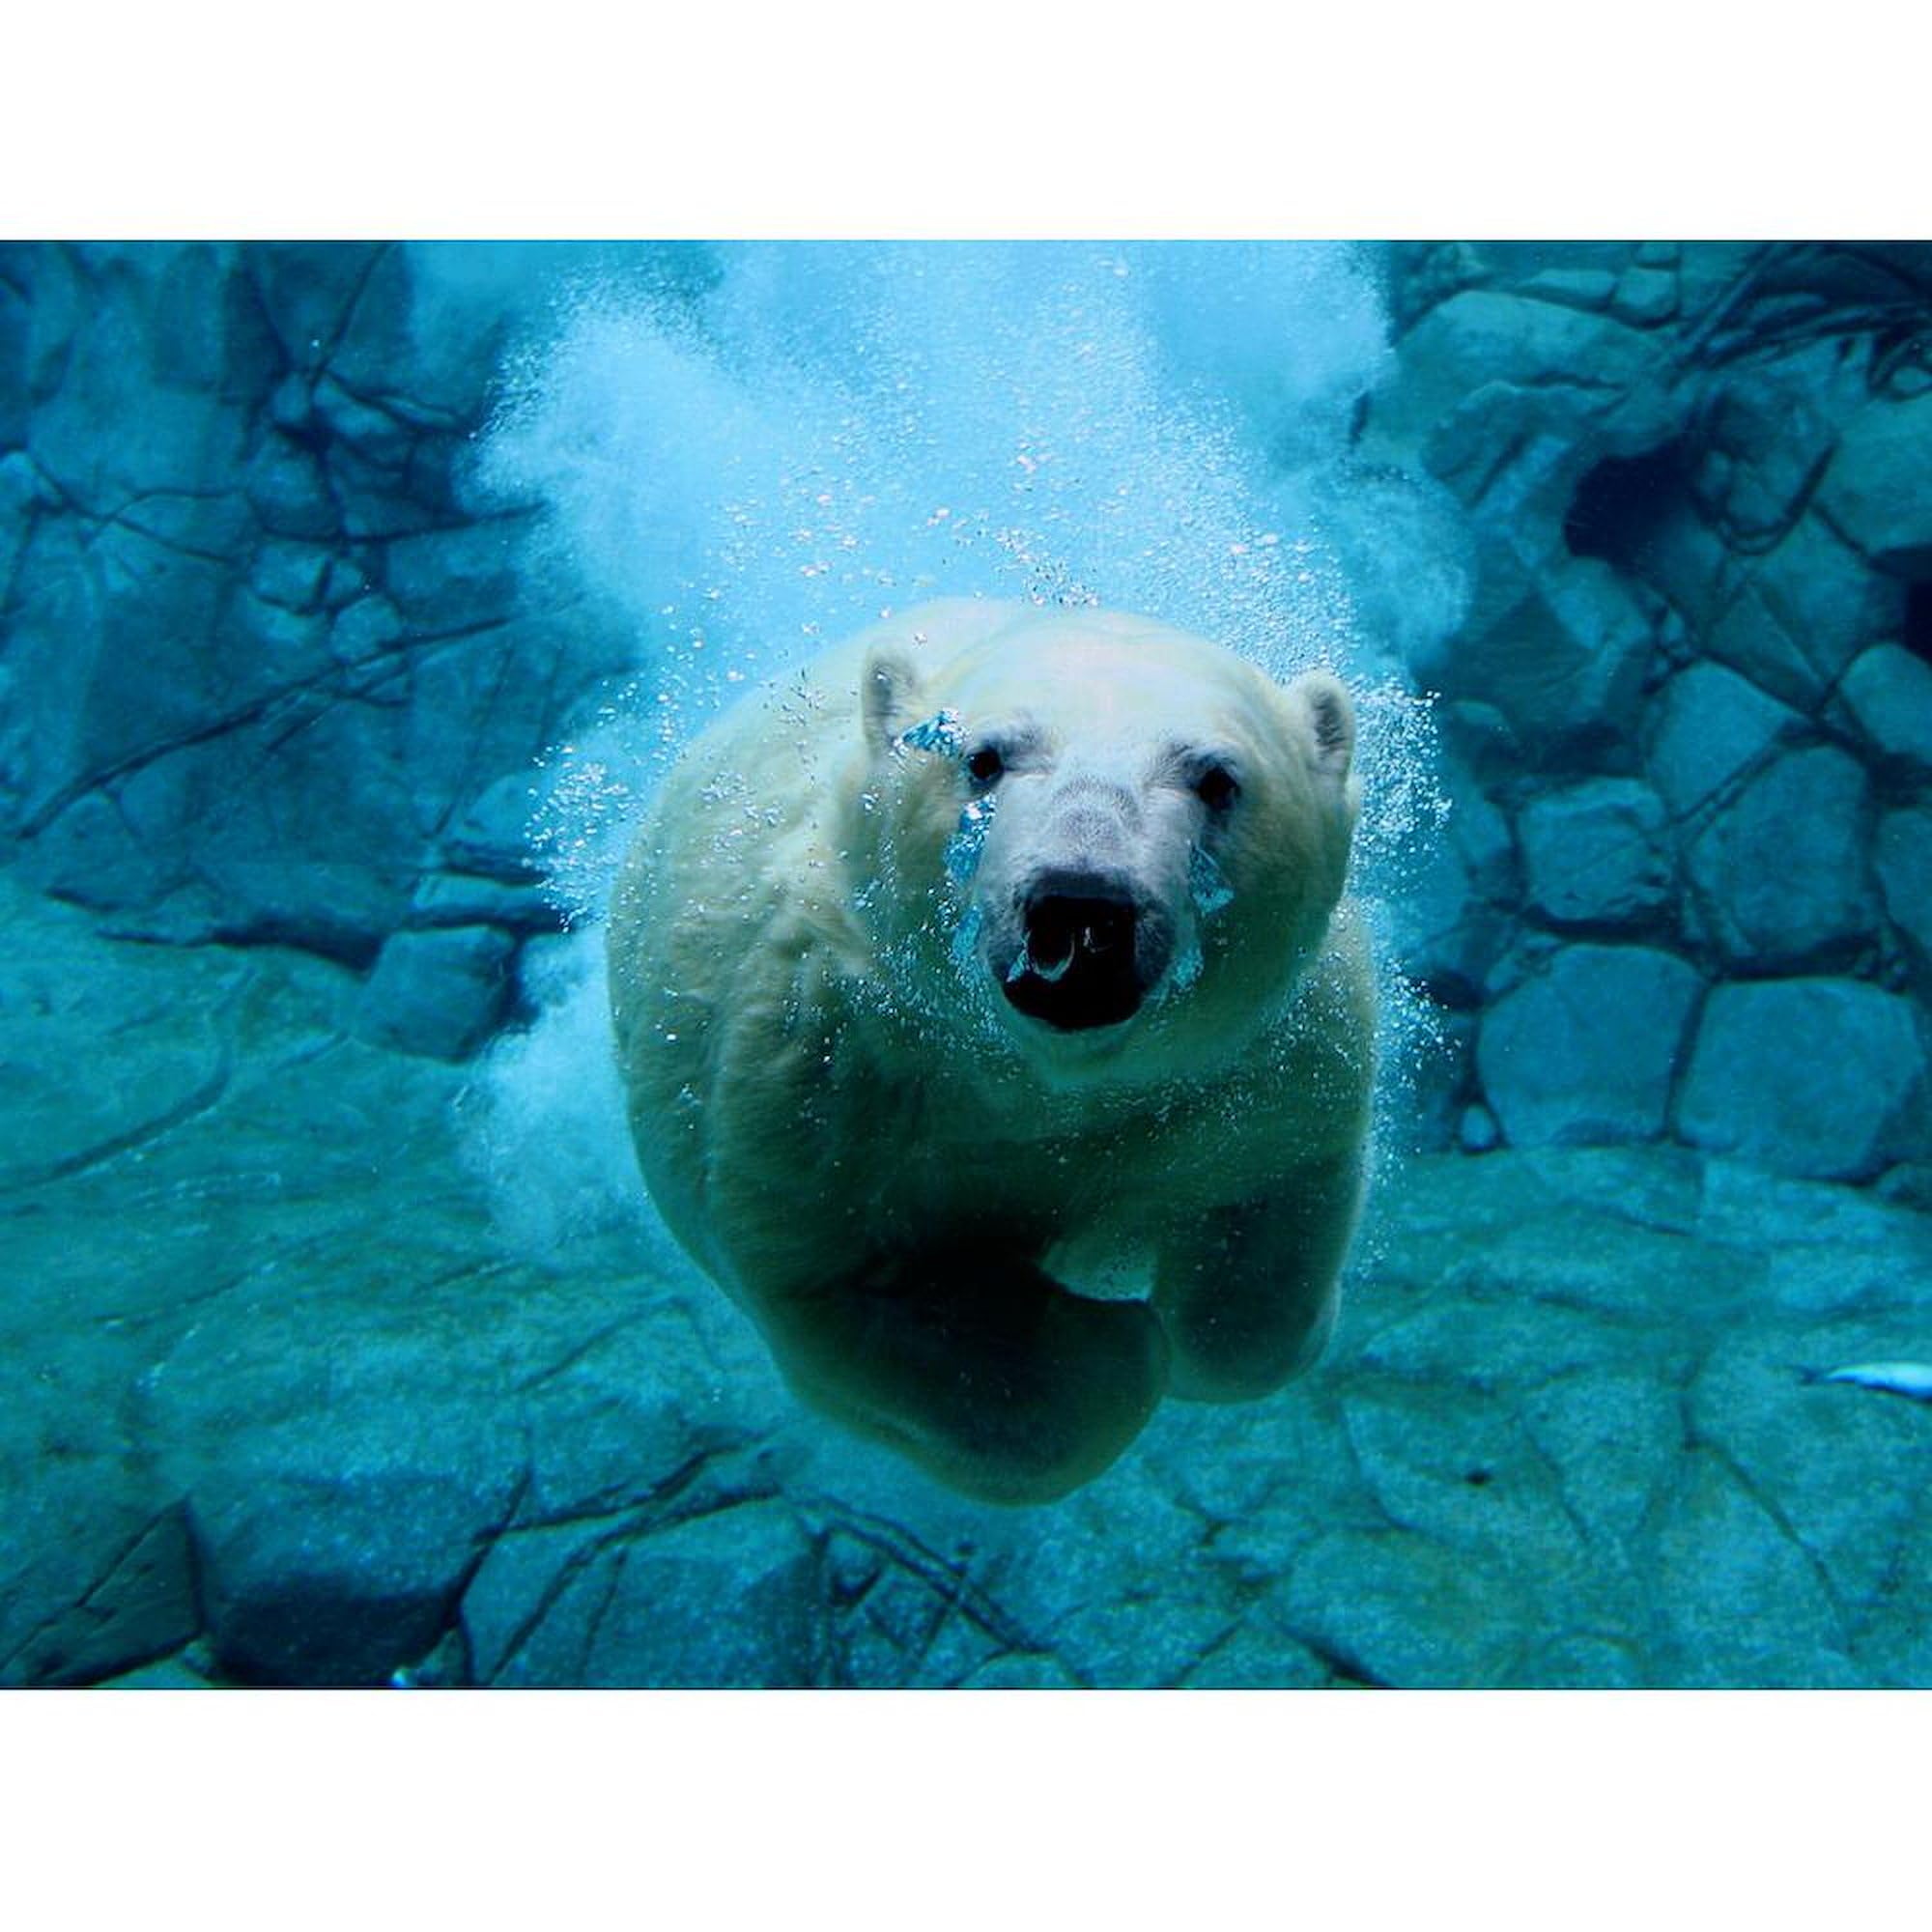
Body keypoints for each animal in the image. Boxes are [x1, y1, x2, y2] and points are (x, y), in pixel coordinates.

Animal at [607, 598, 1374, 1505]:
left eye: (1217, 778)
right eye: (982, 758)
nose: (1082, 906)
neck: (1042, 1081)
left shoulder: (1261, 1063)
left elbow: (1266, 1220)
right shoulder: (824, 1073)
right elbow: (856, 1290)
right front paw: (1112, 1344)